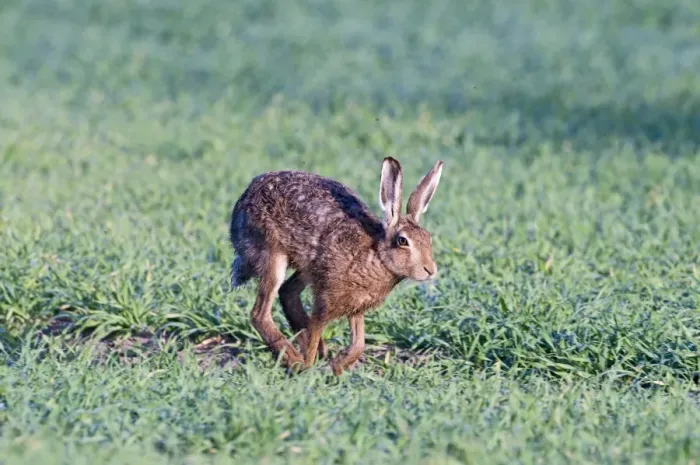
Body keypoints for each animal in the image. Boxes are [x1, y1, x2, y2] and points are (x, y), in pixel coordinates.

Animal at [228, 157, 443, 375]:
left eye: (428, 238)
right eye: (402, 241)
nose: (430, 270)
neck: (377, 257)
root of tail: (244, 199)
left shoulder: (356, 307)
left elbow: (359, 344)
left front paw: (337, 367)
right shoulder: (325, 301)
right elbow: (315, 331)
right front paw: (309, 368)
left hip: (308, 267)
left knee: (287, 292)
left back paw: (318, 352)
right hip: (273, 256)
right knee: (260, 314)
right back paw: (295, 361)